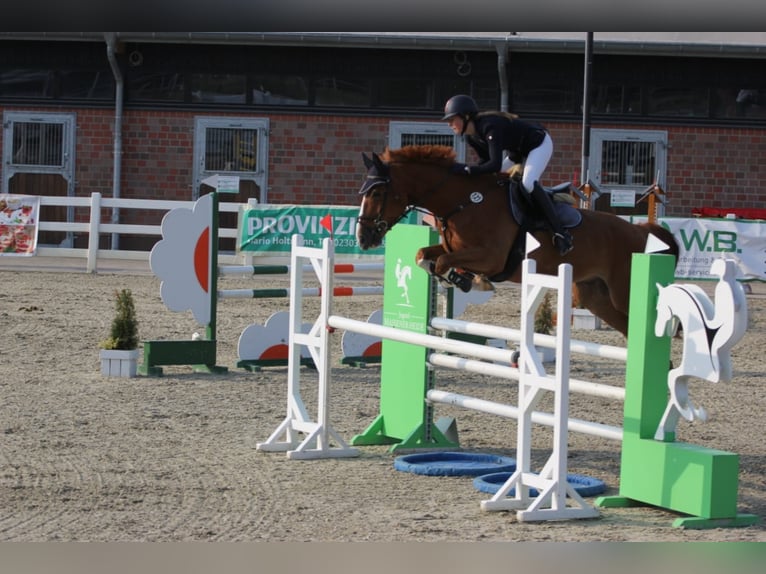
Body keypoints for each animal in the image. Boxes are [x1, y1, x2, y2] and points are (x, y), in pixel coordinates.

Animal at [356, 146, 680, 340]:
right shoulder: (455, 248)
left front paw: (466, 281)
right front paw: (456, 278)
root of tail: (642, 231)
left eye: (376, 193)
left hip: (622, 293)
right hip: (596, 298)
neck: (464, 201)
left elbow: (446, 262)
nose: (363, 237)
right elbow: (423, 254)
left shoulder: (491, 257)